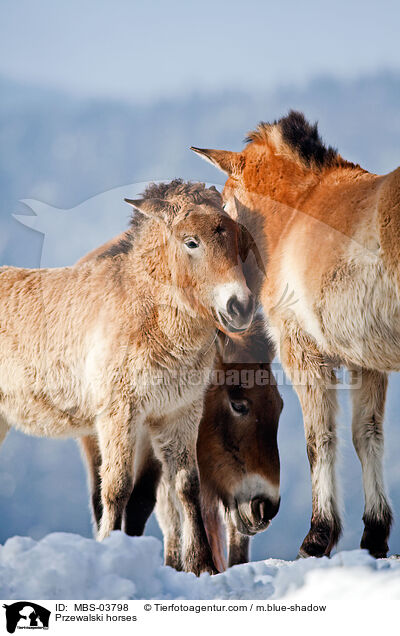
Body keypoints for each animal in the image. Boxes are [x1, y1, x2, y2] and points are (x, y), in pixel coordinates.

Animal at [0, 179, 253, 576]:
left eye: (237, 237)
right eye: (191, 241)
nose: (240, 306)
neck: (147, 314)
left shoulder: (179, 413)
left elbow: (186, 485)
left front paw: (201, 565)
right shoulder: (119, 413)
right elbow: (116, 487)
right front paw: (108, 547)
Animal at [191, 112, 400, 560]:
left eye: (225, 212)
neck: (298, 212)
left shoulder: (303, 352)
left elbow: (318, 439)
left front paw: (318, 536)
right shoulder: (366, 362)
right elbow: (367, 435)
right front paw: (374, 535)